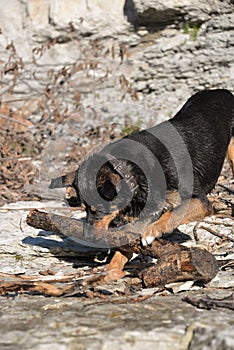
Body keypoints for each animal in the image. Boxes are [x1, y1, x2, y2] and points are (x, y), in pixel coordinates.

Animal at [49, 89, 234, 274]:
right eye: (85, 208)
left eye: (99, 208)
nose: (87, 238)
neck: (132, 170)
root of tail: (223, 92)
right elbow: (121, 253)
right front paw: (110, 274)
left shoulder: (200, 202)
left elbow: (171, 214)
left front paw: (152, 230)